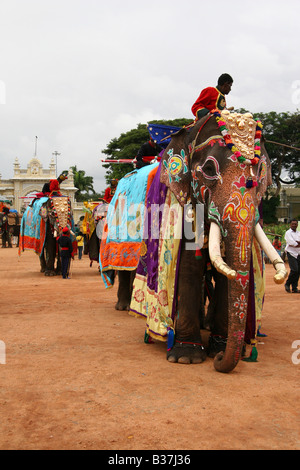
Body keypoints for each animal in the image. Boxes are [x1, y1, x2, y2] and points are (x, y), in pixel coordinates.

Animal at [99, 110, 288, 374]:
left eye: (260, 170)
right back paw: (126, 309)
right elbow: (189, 265)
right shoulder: (182, 201)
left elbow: (224, 272)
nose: (219, 361)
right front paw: (186, 357)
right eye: (208, 169)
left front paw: (218, 348)